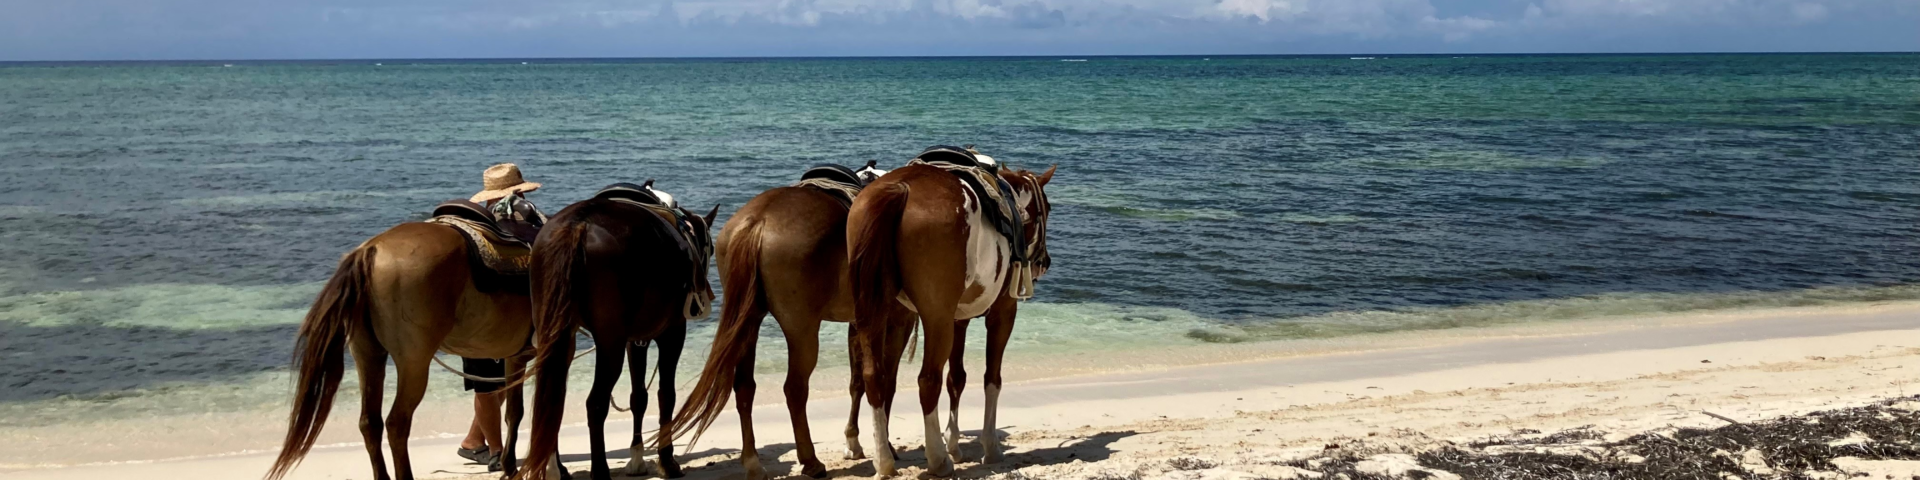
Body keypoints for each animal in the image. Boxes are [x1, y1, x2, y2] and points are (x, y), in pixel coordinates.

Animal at [263, 219, 541, 480]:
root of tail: (369, 250)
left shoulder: (515, 358)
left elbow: (515, 413)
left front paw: (510, 468)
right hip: (414, 363)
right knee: (397, 423)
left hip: (368, 356)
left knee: (370, 422)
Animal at [514, 184, 718, 480]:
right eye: (710, 248)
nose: (706, 293)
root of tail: (577, 225)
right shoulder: (671, 334)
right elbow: (665, 395)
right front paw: (667, 461)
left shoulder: (635, 340)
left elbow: (638, 397)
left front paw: (637, 459)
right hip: (610, 343)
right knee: (596, 403)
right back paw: (599, 470)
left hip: (558, 335)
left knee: (553, 396)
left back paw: (555, 467)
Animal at [660, 163, 913, 478]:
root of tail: (757, 221)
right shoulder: (898, 322)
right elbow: (886, 380)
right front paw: (886, 447)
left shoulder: (858, 323)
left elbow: (858, 382)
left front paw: (854, 444)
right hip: (801, 329)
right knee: (794, 389)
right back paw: (811, 461)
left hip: (750, 320)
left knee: (744, 387)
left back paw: (753, 462)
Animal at [848, 158, 1059, 476]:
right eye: (1045, 208)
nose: (1043, 262)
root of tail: (900, 188)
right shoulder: (1002, 314)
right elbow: (991, 378)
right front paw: (989, 447)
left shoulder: (958, 320)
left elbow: (956, 378)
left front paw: (955, 444)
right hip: (936, 319)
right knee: (927, 380)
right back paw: (937, 459)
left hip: (880, 313)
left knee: (875, 377)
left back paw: (883, 460)